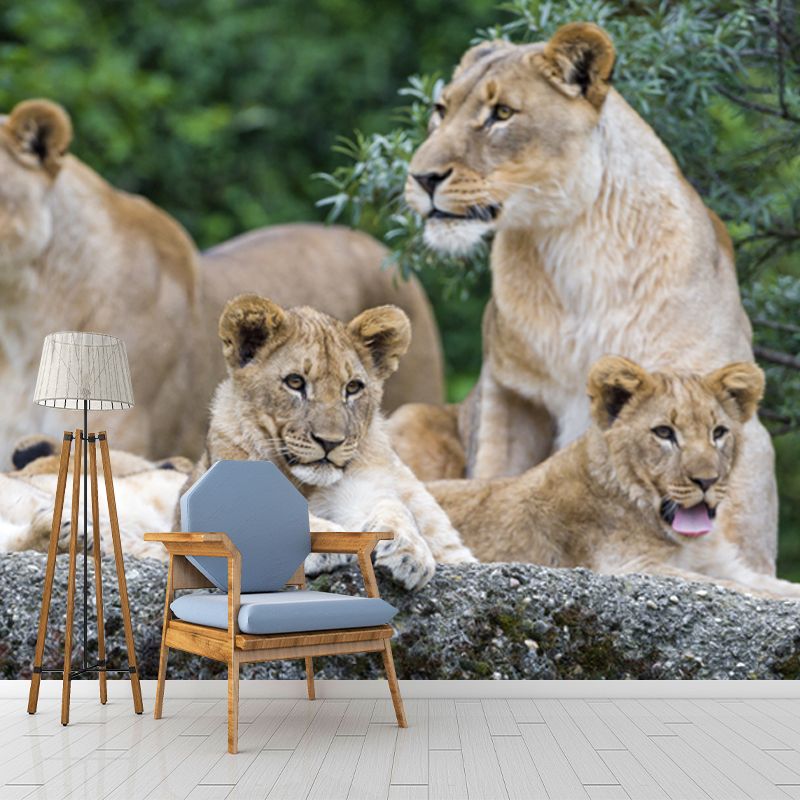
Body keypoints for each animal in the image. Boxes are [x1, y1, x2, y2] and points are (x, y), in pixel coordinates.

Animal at [180, 294, 475, 590]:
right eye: (295, 382)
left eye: (353, 387)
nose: (330, 442)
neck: (306, 483)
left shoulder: (362, 490)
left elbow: (392, 509)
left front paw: (407, 552)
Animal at [392, 22, 778, 576]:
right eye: (440, 110)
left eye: (502, 114)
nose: (420, 178)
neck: (570, 244)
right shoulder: (513, 397)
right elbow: (496, 477)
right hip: (410, 415)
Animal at [428, 357, 800, 599]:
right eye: (664, 432)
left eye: (719, 432)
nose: (707, 481)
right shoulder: (626, 567)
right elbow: (735, 588)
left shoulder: (724, 564)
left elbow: (772, 585)